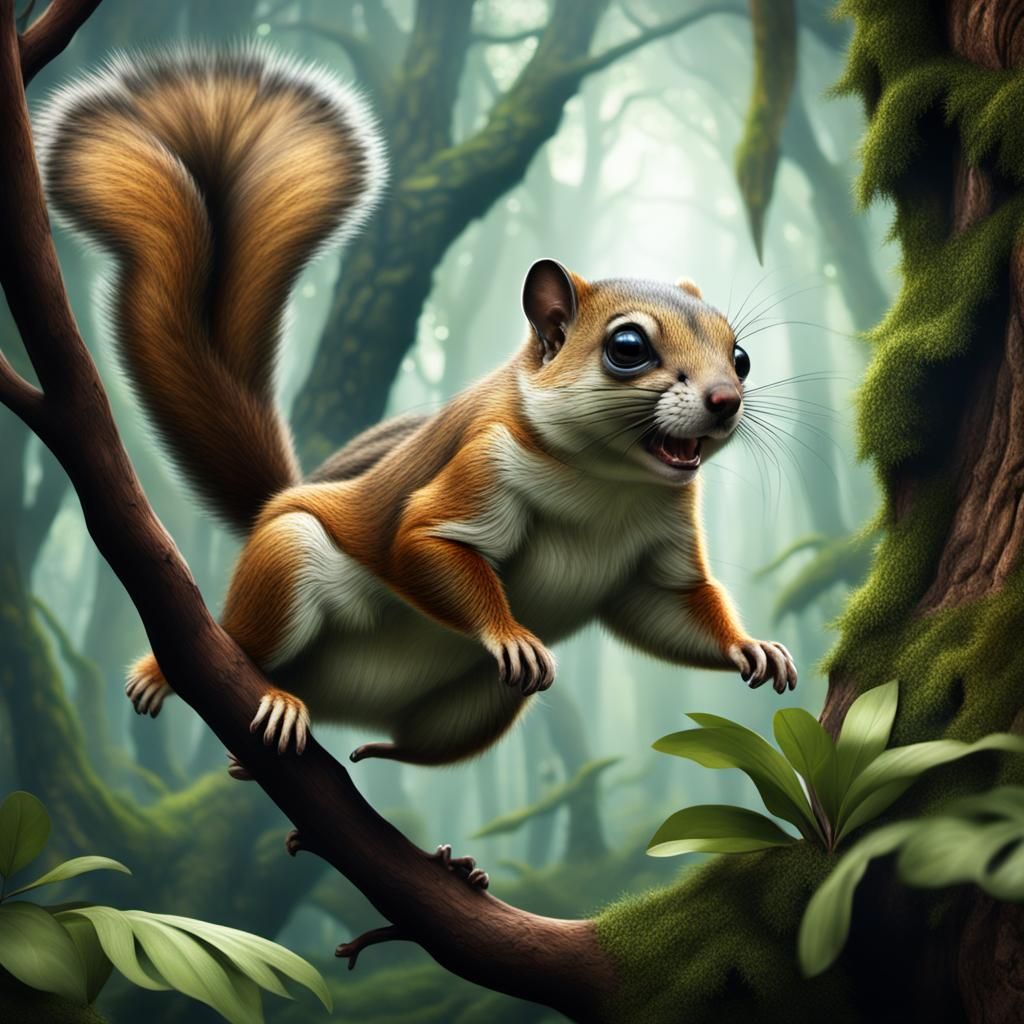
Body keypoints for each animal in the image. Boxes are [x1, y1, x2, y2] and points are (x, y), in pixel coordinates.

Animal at [39, 47, 797, 769]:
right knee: (244, 644)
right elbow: (422, 543)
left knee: (421, 741)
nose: (726, 401)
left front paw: (752, 647)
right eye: (628, 347)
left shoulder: (660, 548)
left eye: (740, 356)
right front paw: (506, 631)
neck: (605, 485)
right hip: (283, 565)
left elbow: (669, 608)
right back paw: (199, 681)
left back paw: (387, 767)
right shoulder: (480, 464)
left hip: (483, 703)